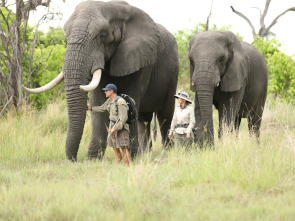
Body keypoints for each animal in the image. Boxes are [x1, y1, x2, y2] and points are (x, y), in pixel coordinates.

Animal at [22, 1, 178, 161]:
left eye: (102, 36)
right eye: (67, 35)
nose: (74, 159)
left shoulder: (142, 61)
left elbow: (130, 100)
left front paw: (131, 157)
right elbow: (98, 101)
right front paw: (93, 159)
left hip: (173, 72)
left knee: (165, 115)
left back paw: (167, 152)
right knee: (143, 118)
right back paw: (145, 153)